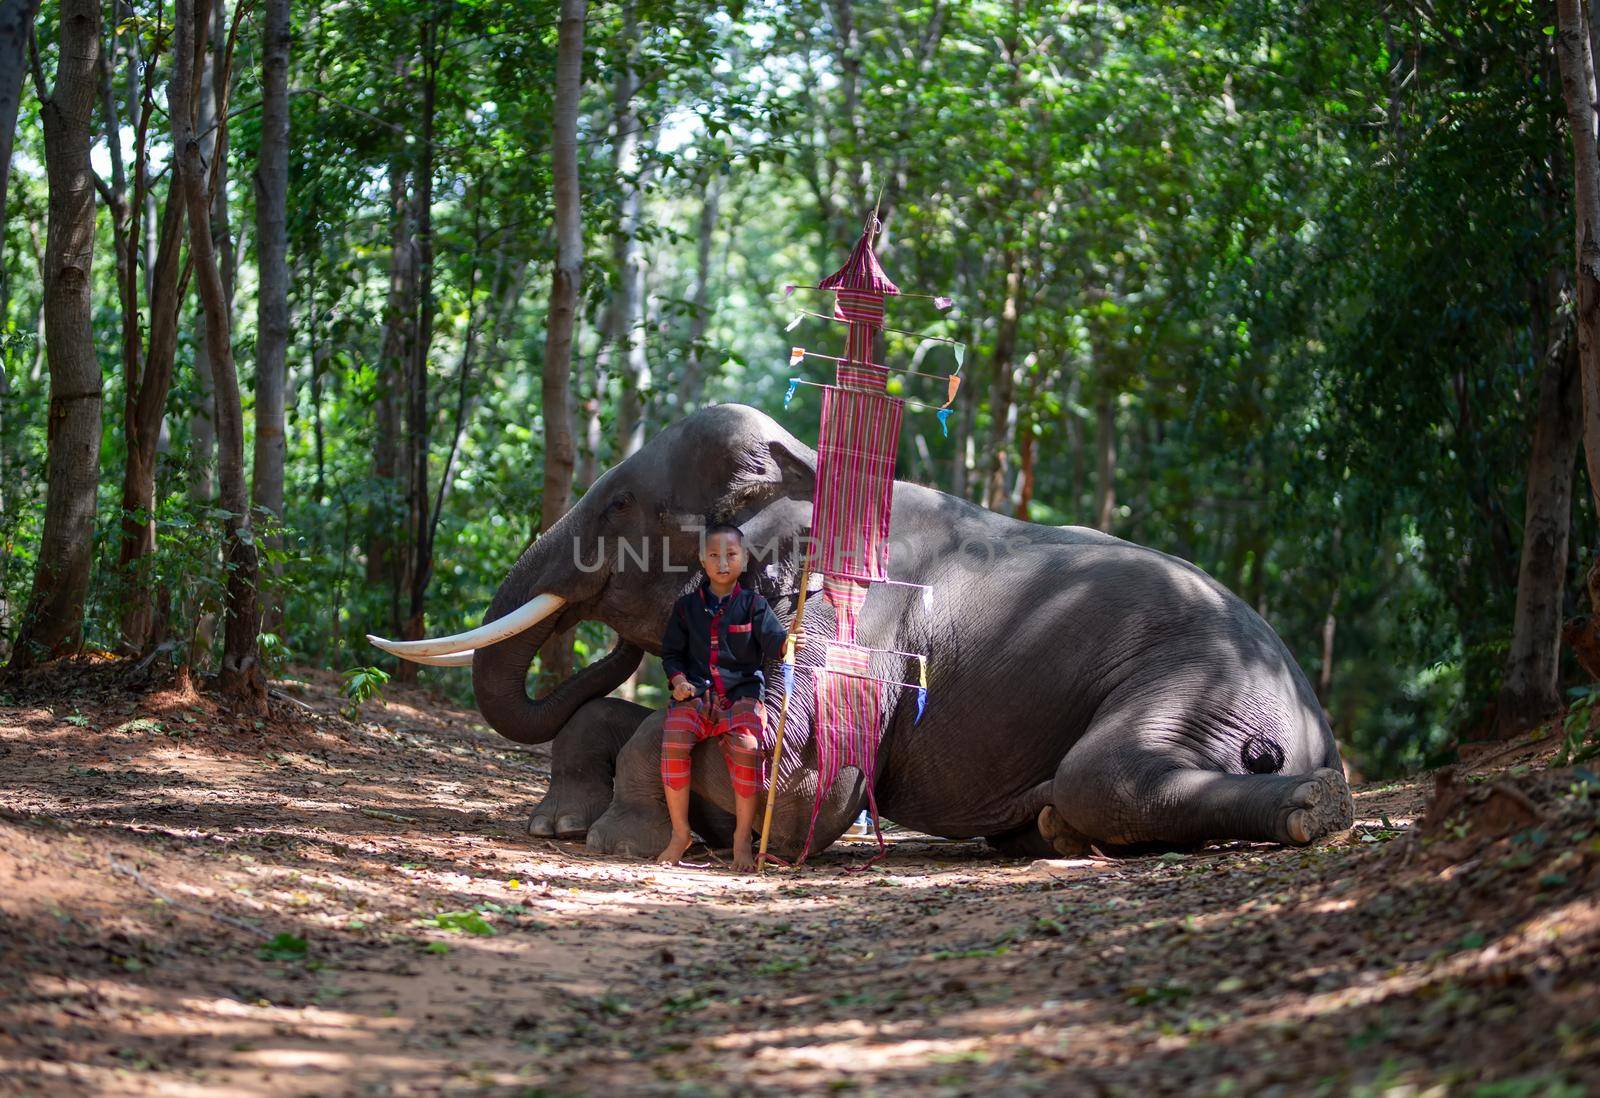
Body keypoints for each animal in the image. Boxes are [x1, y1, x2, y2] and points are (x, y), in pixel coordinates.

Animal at [371, 400, 1350, 864]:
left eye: (618, 506)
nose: (612, 626)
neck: (814, 464)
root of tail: (1316, 722)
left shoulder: (860, 613)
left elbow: (810, 777)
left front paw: (622, 841)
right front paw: (559, 825)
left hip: (1202, 685)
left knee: (1105, 774)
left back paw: (1315, 808)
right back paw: (1051, 834)